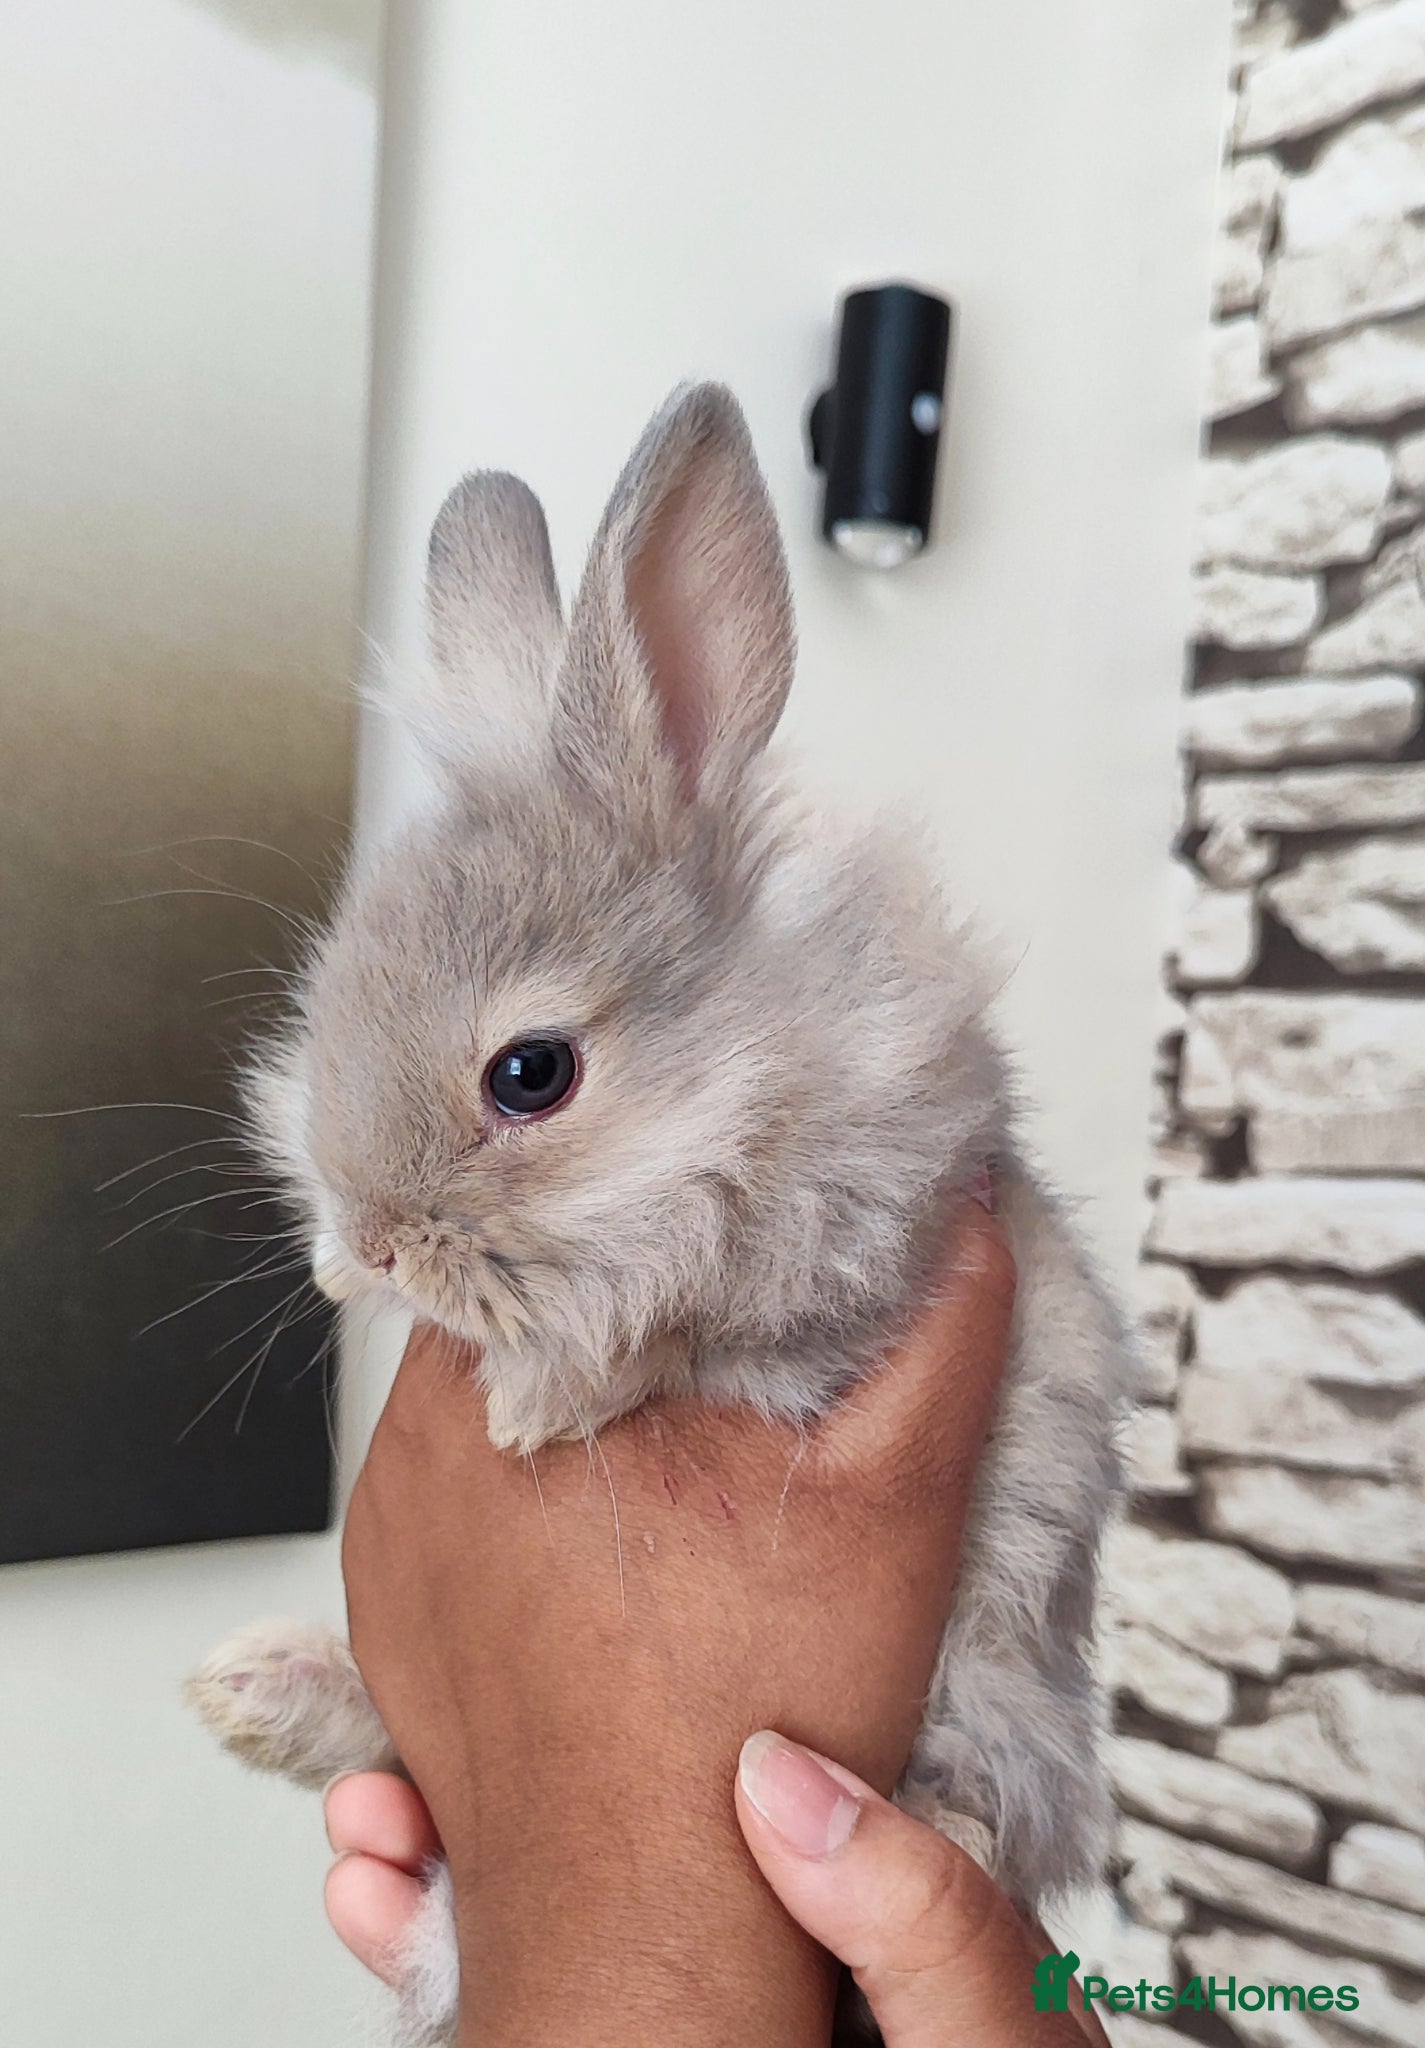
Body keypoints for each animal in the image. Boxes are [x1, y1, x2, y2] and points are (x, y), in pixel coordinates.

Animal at [187, 383, 1129, 2045]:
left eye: (531, 1072)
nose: (365, 1247)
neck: (742, 1061)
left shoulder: (851, 1244)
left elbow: (676, 1319)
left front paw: (532, 1407)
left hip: (1007, 1682)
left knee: (1009, 1797)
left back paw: (935, 1827)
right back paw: (262, 1689)